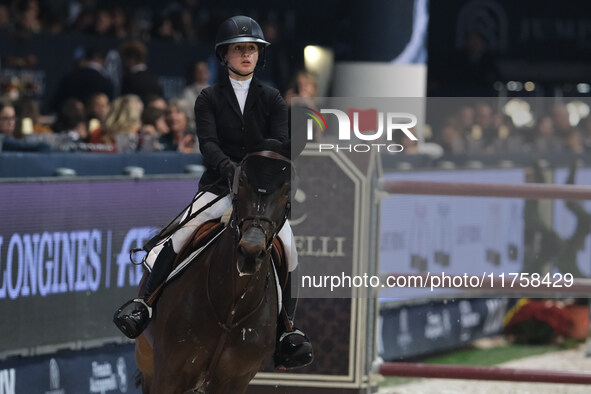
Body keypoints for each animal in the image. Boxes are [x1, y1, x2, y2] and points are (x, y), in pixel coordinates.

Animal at [134, 149, 292, 392]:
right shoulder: (168, 374)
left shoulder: (237, 380)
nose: (250, 251)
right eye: (242, 181)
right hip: (148, 364)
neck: (232, 307)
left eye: (286, 190)